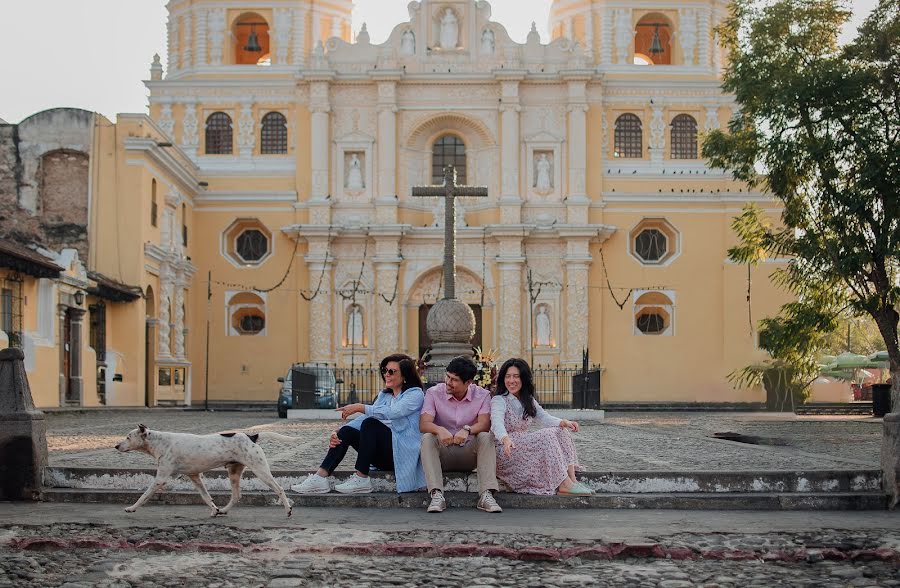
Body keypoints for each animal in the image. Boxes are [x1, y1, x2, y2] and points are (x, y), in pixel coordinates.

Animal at [114, 424, 294, 516]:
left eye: (128, 437)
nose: (116, 446)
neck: (160, 442)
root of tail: (251, 436)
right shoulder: (195, 476)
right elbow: (206, 496)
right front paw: (214, 509)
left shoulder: (161, 478)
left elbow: (144, 495)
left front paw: (131, 508)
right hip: (234, 473)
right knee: (236, 496)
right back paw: (223, 510)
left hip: (260, 470)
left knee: (279, 488)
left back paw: (288, 510)